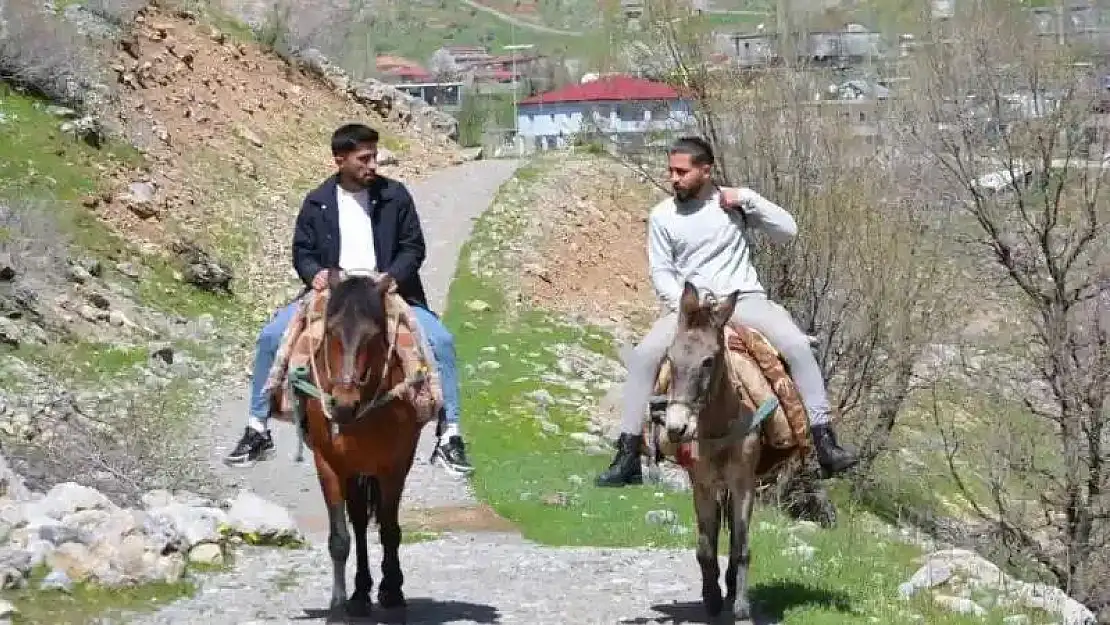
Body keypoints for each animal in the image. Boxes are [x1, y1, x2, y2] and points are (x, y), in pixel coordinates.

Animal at [299, 269, 424, 625]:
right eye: (330, 330)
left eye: (373, 334)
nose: (343, 404)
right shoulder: (329, 465)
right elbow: (340, 538)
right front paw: (339, 606)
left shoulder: (394, 467)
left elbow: (390, 530)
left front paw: (393, 594)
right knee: (357, 524)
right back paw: (360, 594)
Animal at [657, 280, 763, 621]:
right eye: (670, 357)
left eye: (709, 361)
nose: (676, 428)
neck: (718, 430)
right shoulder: (701, 485)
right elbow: (705, 546)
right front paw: (712, 598)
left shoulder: (744, 485)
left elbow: (742, 545)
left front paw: (741, 605)